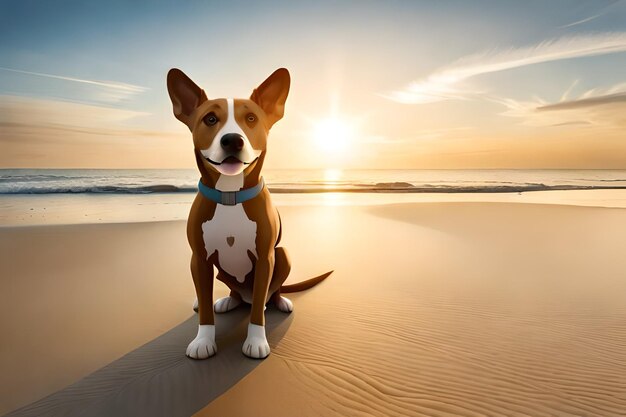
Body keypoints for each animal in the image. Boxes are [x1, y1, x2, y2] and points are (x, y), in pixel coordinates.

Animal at [166, 67, 332, 358]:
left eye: (251, 118)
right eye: (210, 119)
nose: (232, 140)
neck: (230, 196)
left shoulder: (266, 258)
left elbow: (257, 310)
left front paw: (256, 341)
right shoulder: (199, 259)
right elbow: (205, 310)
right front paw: (203, 340)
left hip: (282, 254)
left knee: (268, 294)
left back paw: (279, 302)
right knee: (231, 294)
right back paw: (226, 301)